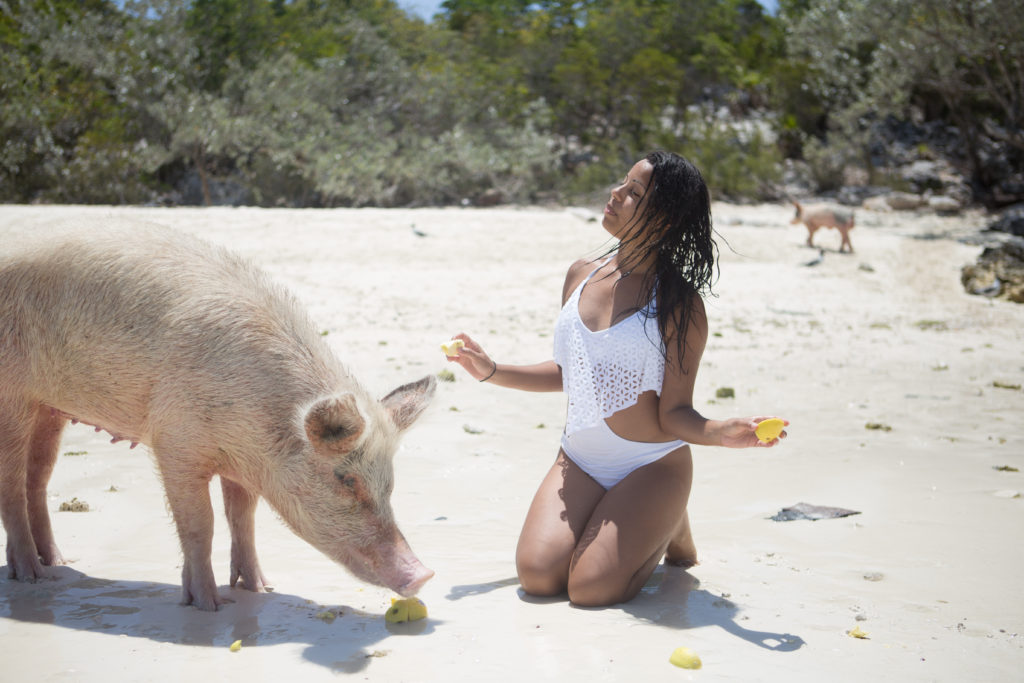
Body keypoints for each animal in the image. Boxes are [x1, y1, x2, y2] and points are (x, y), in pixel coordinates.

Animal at [0, 222, 434, 610]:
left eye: (390, 485)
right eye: (346, 480)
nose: (424, 575)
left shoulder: (242, 463)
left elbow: (243, 519)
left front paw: (259, 589)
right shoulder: (174, 443)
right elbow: (200, 524)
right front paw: (209, 606)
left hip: (48, 408)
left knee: (37, 480)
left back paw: (57, 563)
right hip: (12, 397)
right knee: (12, 485)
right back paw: (31, 576)